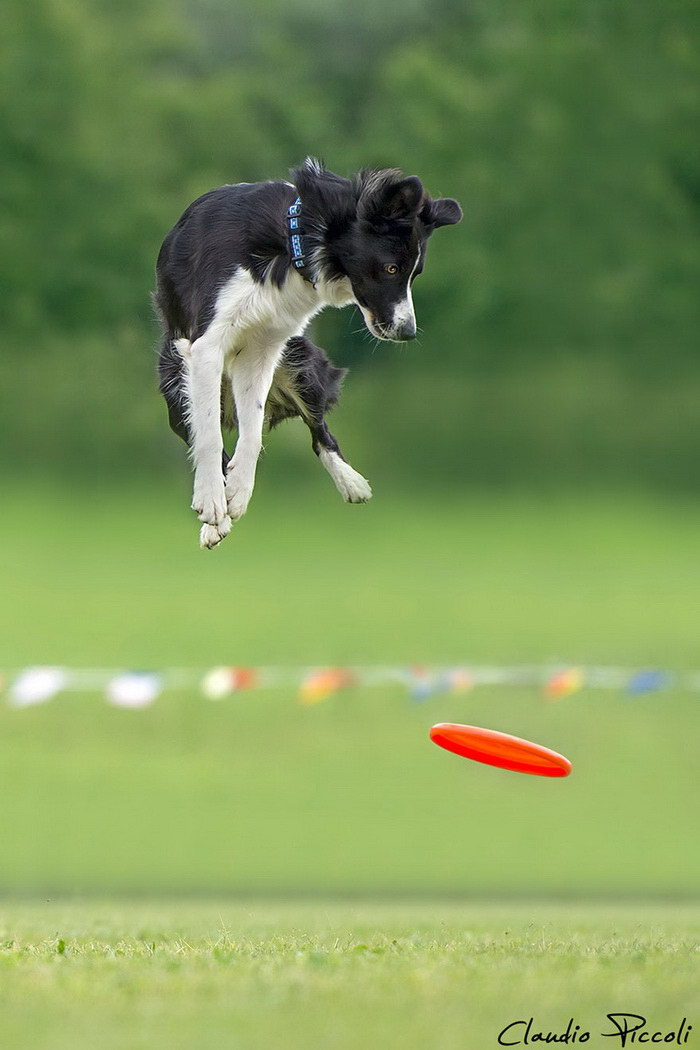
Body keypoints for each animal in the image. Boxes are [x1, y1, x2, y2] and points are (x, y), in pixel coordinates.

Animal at [153, 159, 459, 550]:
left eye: (414, 274)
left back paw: (351, 483)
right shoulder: (205, 345)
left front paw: (238, 493)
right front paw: (213, 503)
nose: (408, 332)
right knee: (203, 429)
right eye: (391, 268)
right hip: (175, 377)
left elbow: (253, 432)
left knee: (318, 430)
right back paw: (214, 520)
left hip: (299, 360)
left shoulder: (263, 350)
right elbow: (209, 434)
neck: (293, 236)